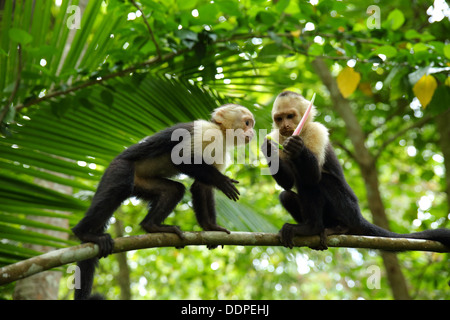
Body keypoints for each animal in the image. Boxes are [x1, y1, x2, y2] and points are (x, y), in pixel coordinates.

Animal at [74, 104, 256, 298]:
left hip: (140, 182)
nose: (252, 132)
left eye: (252, 124)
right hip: (119, 167)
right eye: (247, 123)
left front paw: (210, 227)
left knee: (174, 190)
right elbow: (183, 158)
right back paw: (84, 233)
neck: (221, 133)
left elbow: (201, 187)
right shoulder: (205, 131)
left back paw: (152, 226)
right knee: (120, 187)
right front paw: (222, 182)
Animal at [260, 90, 450, 250]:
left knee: (319, 181)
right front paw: (267, 148)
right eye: (279, 118)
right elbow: (288, 182)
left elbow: (312, 177)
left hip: (347, 208)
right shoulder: (278, 136)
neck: (301, 130)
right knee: (286, 195)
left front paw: (297, 148)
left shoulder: (316, 131)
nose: (285, 126)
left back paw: (314, 227)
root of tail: (358, 216)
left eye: (290, 116)